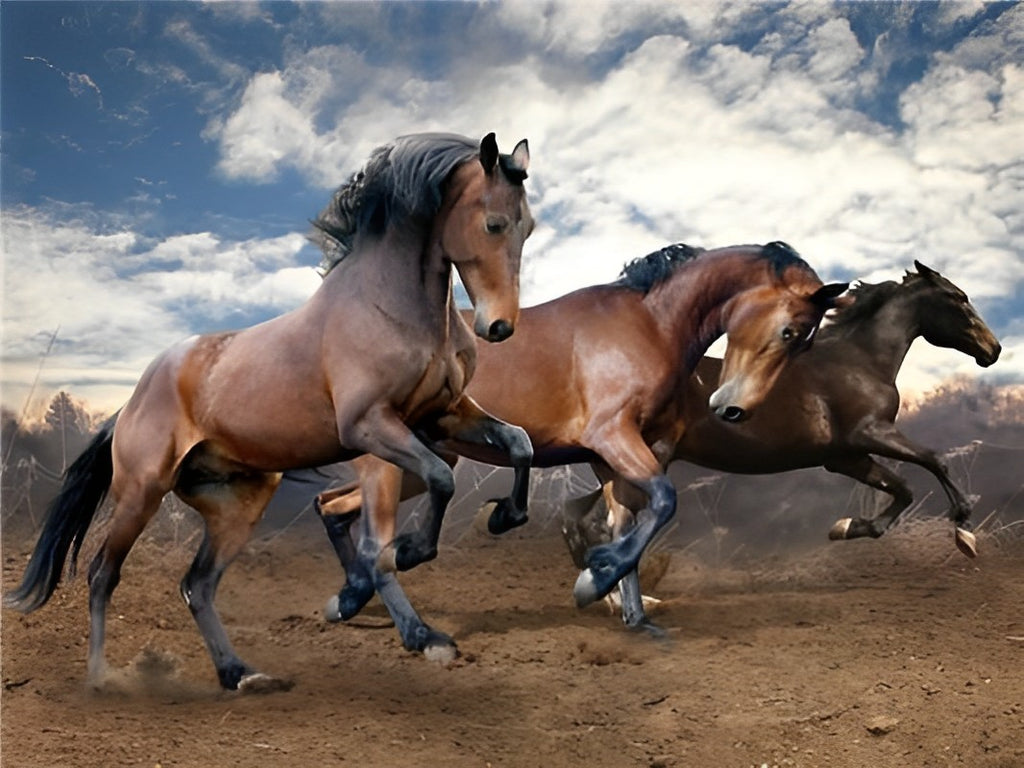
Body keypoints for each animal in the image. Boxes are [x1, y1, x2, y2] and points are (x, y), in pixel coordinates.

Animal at [6, 131, 536, 692]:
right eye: (493, 223)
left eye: (528, 227)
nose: (499, 327)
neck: (389, 306)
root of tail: (129, 404)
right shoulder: (370, 426)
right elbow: (436, 482)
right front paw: (412, 564)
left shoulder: (443, 416)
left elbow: (518, 443)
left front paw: (503, 516)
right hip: (140, 493)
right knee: (102, 574)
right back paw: (101, 678)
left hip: (238, 503)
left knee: (196, 585)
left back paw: (239, 673)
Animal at [317, 241, 847, 655]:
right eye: (788, 331)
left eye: (800, 343)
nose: (733, 409)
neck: (650, 325)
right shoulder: (612, 437)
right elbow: (663, 502)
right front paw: (595, 579)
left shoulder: (610, 458)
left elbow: (629, 521)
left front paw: (635, 616)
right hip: (389, 463)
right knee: (374, 544)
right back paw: (418, 633)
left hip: (422, 460)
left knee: (331, 507)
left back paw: (347, 599)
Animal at [561, 262, 999, 626]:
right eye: (958, 297)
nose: (992, 350)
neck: (859, 362)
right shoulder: (870, 433)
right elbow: (934, 460)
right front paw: (965, 535)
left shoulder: (846, 457)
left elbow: (902, 489)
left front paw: (846, 528)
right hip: (649, 460)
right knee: (608, 524)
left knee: (579, 518)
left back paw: (612, 598)